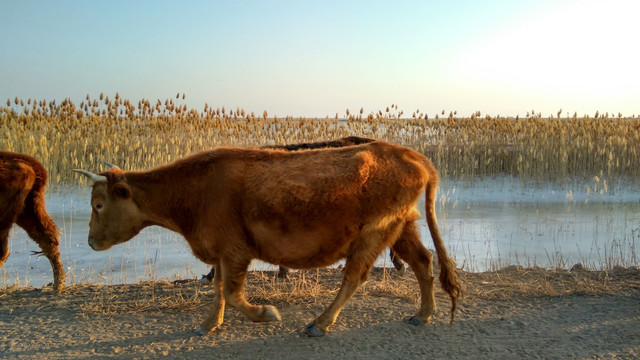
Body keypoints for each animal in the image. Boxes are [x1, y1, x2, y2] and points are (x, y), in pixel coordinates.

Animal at [74, 139, 460, 338]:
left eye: (98, 204)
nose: (90, 242)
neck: (196, 191)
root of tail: (409, 153)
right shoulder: (219, 251)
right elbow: (219, 290)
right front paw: (209, 324)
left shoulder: (235, 250)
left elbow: (232, 293)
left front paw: (265, 314)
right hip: (402, 226)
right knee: (423, 262)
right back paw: (424, 314)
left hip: (375, 231)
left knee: (354, 277)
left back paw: (320, 323)